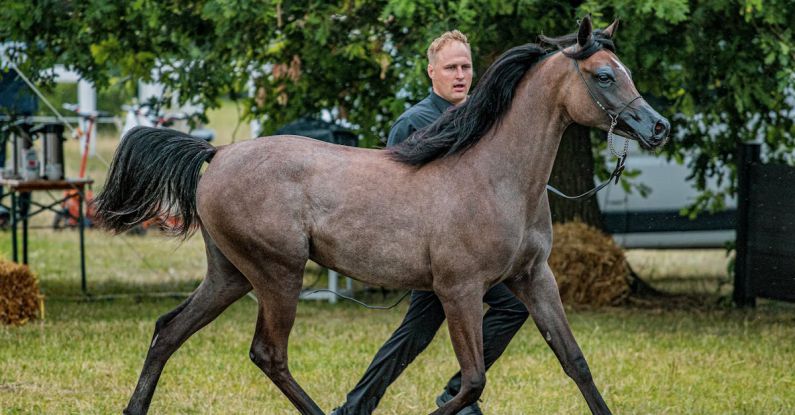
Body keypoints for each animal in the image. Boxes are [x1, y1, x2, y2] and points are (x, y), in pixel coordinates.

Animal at [95, 16, 669, 415]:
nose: (658, 127)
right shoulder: (459, 290)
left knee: (168, 330)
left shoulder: (534, 278)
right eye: (603, 75)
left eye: (626, 72)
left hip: (230, 275)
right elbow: (472, 379)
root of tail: (216, 154)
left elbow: (575, 362)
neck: (495, 177)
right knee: (268, 353)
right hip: (278, 274)